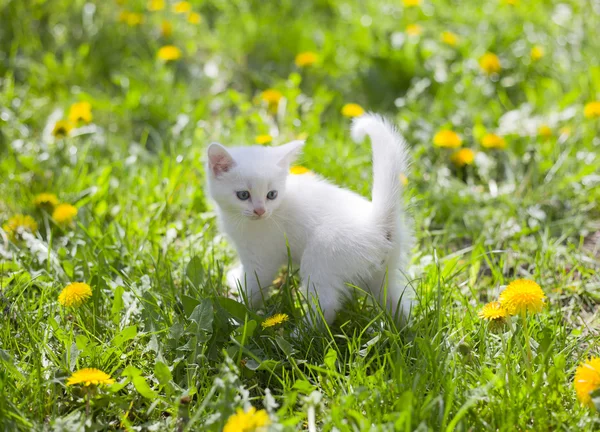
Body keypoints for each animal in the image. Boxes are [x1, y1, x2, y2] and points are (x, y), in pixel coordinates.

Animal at [206, 115, 412, 324]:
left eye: (271, 194)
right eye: (243, 195)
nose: (260, 210)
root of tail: (378, 222)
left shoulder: (262, 258)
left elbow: (254, 287)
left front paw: (238, 315)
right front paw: (235, 279)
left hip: (321, 257)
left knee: (327, 305)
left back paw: (302, 329)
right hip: (383, 275)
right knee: (397, 302)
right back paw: (403, 327)